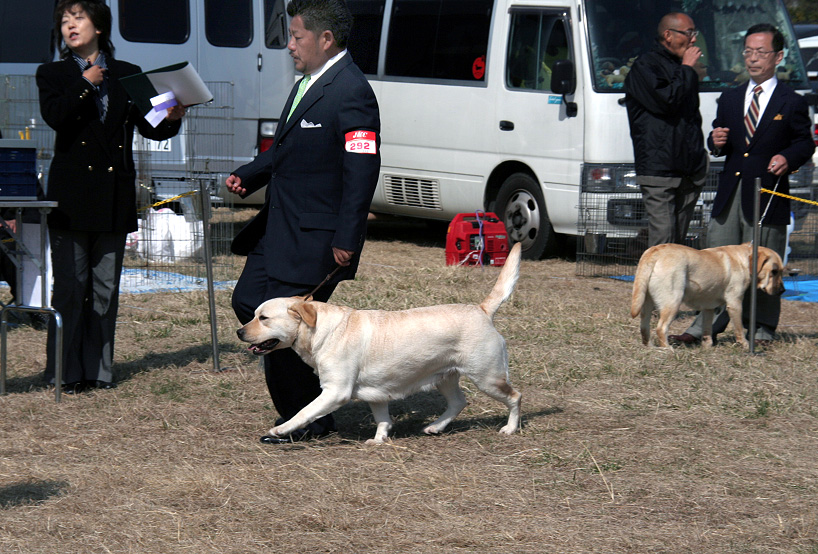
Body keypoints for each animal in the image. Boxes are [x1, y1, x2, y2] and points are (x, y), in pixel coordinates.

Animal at [234, 244, 524, 442]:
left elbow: (305, 411)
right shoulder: (375, 392)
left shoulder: (335, 391)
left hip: (487, 377)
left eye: (263, 318)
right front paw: (379, 439)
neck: (319, 331)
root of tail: (481, 309)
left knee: (515, 397)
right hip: (444, 376)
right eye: (253, 315)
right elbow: (382, 418)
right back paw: (435, 426)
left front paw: (281, 429)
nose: (239, 332)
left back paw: (510, 428)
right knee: (458, 403)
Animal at [632, 240, 784, 344]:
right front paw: (746, 346)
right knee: (661, 328)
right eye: (774, 271)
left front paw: (707, 347)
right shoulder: (735, 303)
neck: (745, 260)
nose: (783, 290)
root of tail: (655, 251)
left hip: (646, 303)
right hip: (673, 302)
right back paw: (668, 350)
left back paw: (650, 347)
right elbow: (739, 329)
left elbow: (707, 330)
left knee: (644, 328)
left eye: (781, 271)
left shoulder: (708, 307)